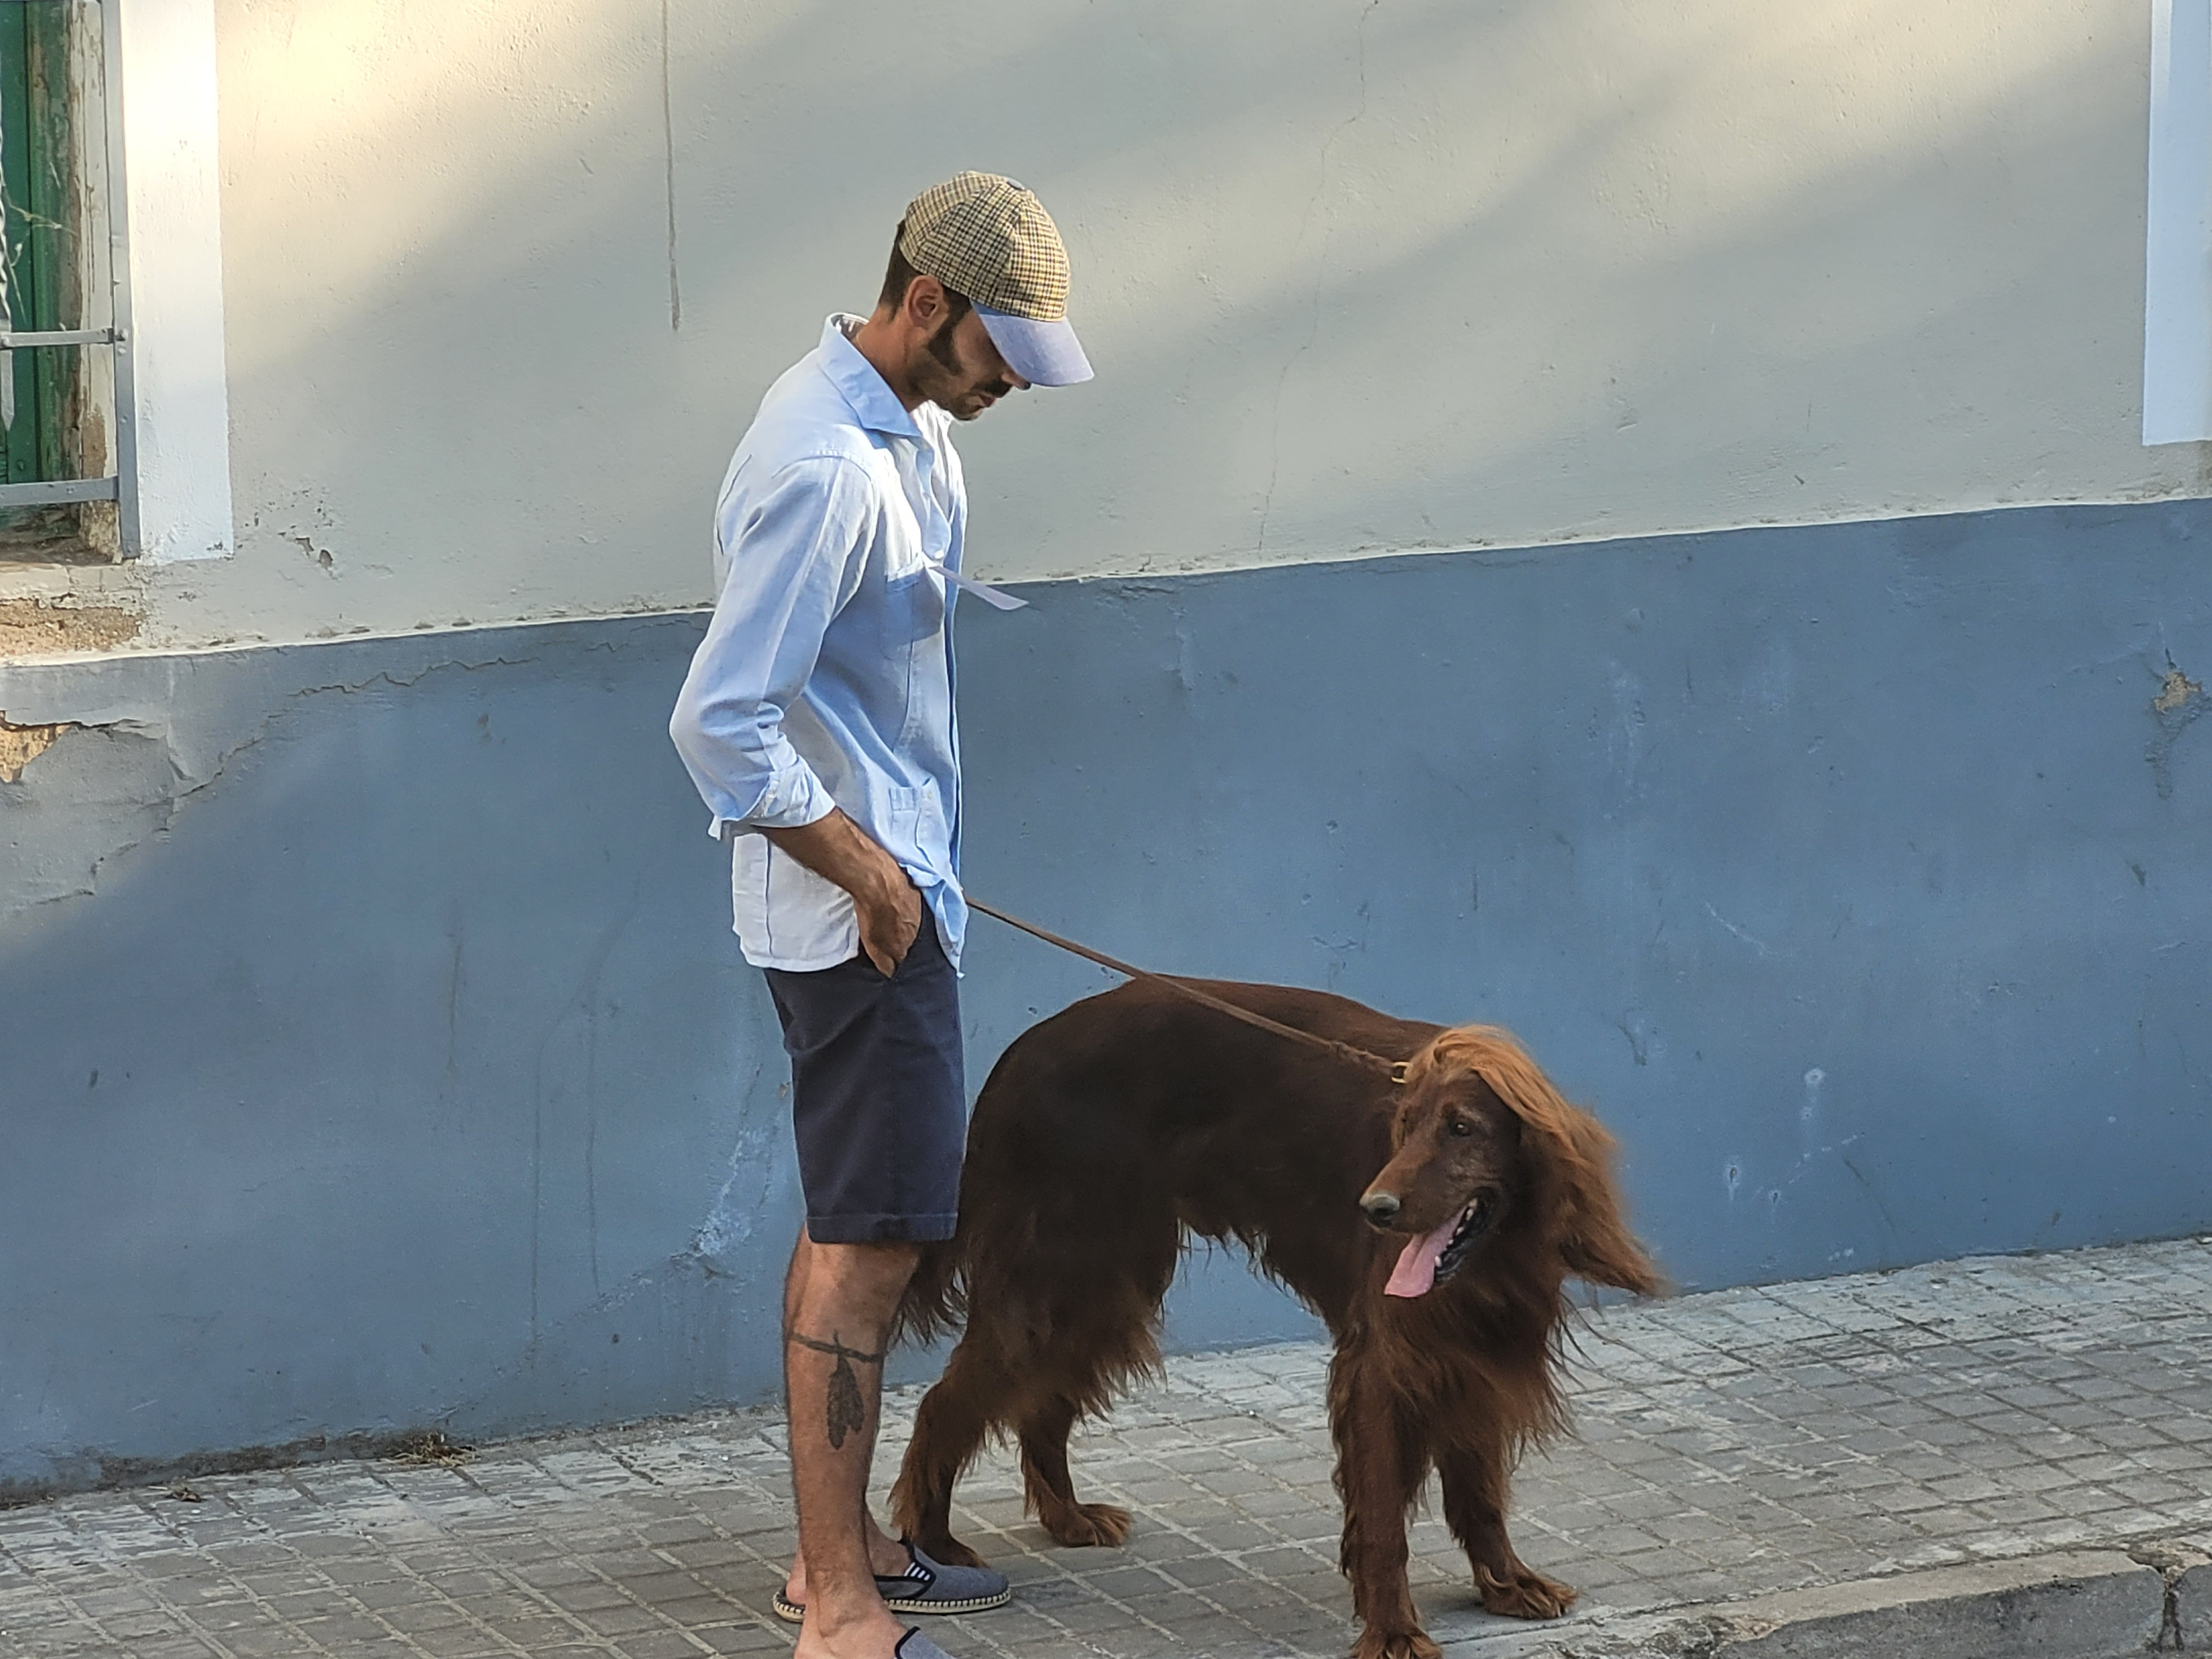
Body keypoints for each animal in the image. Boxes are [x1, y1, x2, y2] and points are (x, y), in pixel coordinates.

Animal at [884, 982, 1663, 1654]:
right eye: (1404, 1128)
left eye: (1462, 1129)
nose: (1375, 1210)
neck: (1492, 1253)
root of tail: (1022, 1053)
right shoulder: (1383, 1364)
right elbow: (1384, 1522)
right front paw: (1393, 1631)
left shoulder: (1472, 1356)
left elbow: (1480, 1493)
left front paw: (1505, 1583)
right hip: (1062, 1274)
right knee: (946, 1403)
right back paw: (934, 1544)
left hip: (1105, 1280)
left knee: (1042, 1404)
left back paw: (1069, 1518)